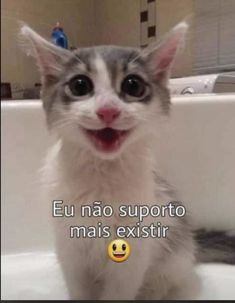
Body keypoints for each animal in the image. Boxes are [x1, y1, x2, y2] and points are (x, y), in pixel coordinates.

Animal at [20, 22, 200, 300]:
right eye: (80, 85)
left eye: (133, 86)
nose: (108, 110)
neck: (101, 175)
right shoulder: (71, 252)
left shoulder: (132, 257)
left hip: (172, 259)